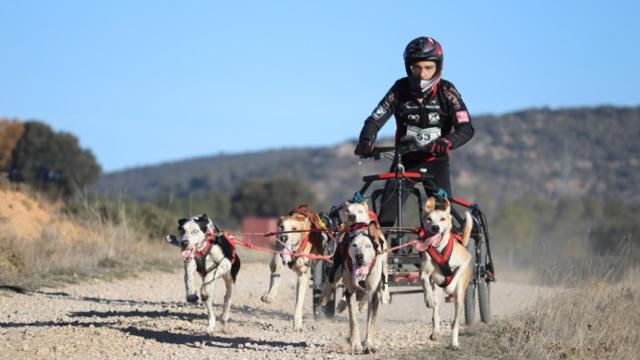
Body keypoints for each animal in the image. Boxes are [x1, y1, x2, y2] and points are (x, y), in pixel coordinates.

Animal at [418, 197, 472, 348]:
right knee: (436, 314)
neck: (440, 250)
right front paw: (428, 299)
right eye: (429, 219)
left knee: (455, 324)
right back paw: (435, 331)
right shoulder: (424, 272)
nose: (435, 227)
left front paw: (450, 285)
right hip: (438, 293)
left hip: (460, 299)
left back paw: (454, 343)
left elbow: (456, 274)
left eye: (442, 219)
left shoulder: (466, 259)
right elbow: (425, 282)